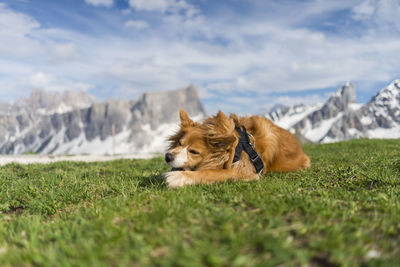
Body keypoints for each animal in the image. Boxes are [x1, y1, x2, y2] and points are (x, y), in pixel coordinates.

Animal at [162, 109, 310, 188]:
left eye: (193, 152)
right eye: (179, 143)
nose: (167, 156)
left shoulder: (245, 172)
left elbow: (210, 173)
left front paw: (177, 177)